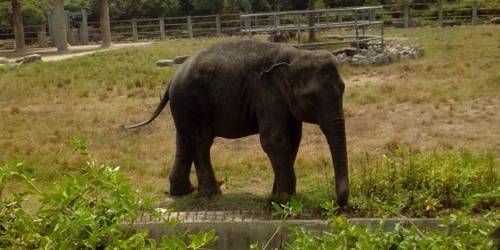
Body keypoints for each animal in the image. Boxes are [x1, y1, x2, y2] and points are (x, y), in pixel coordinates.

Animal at [121, 39, 350, 207]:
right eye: (311, 98)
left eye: (343, 90)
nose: (337, 203)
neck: (294, 55)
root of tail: (171, 80)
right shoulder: (265, 93)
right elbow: (274, 139)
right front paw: (284, 200)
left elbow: (294, 139)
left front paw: (276, 196)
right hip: (192, 101)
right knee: (201, 142)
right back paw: (211, 194)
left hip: (184, 108)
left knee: (184, 141)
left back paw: (183, 192)